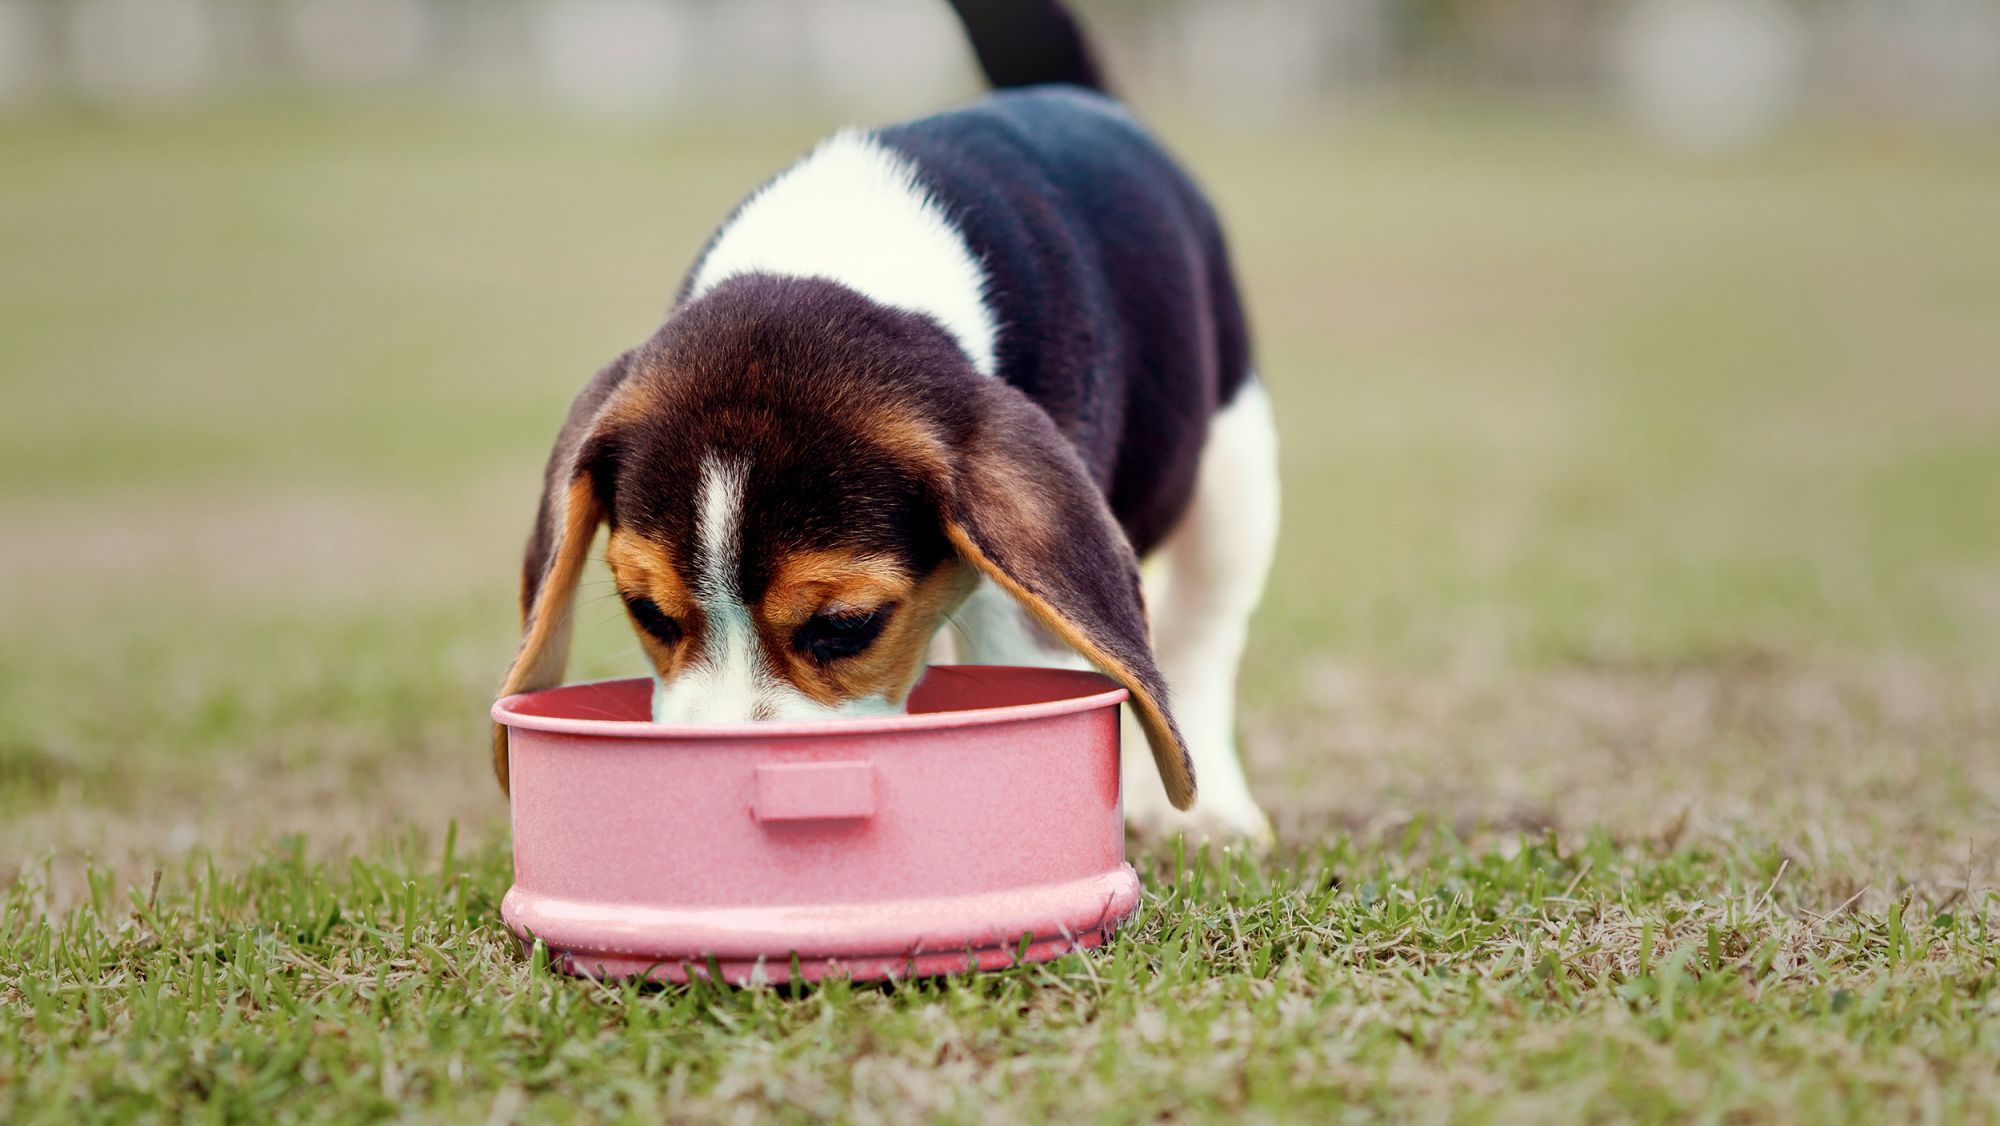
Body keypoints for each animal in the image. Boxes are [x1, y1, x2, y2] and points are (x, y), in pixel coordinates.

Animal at [500, 0, 1280, 836]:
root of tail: (1079, 96)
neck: (837, 248)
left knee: (1202, 632)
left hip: (1235, 472)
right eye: (647, 612)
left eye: (847, 626)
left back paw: (1209, 812)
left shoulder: (1018, 594)